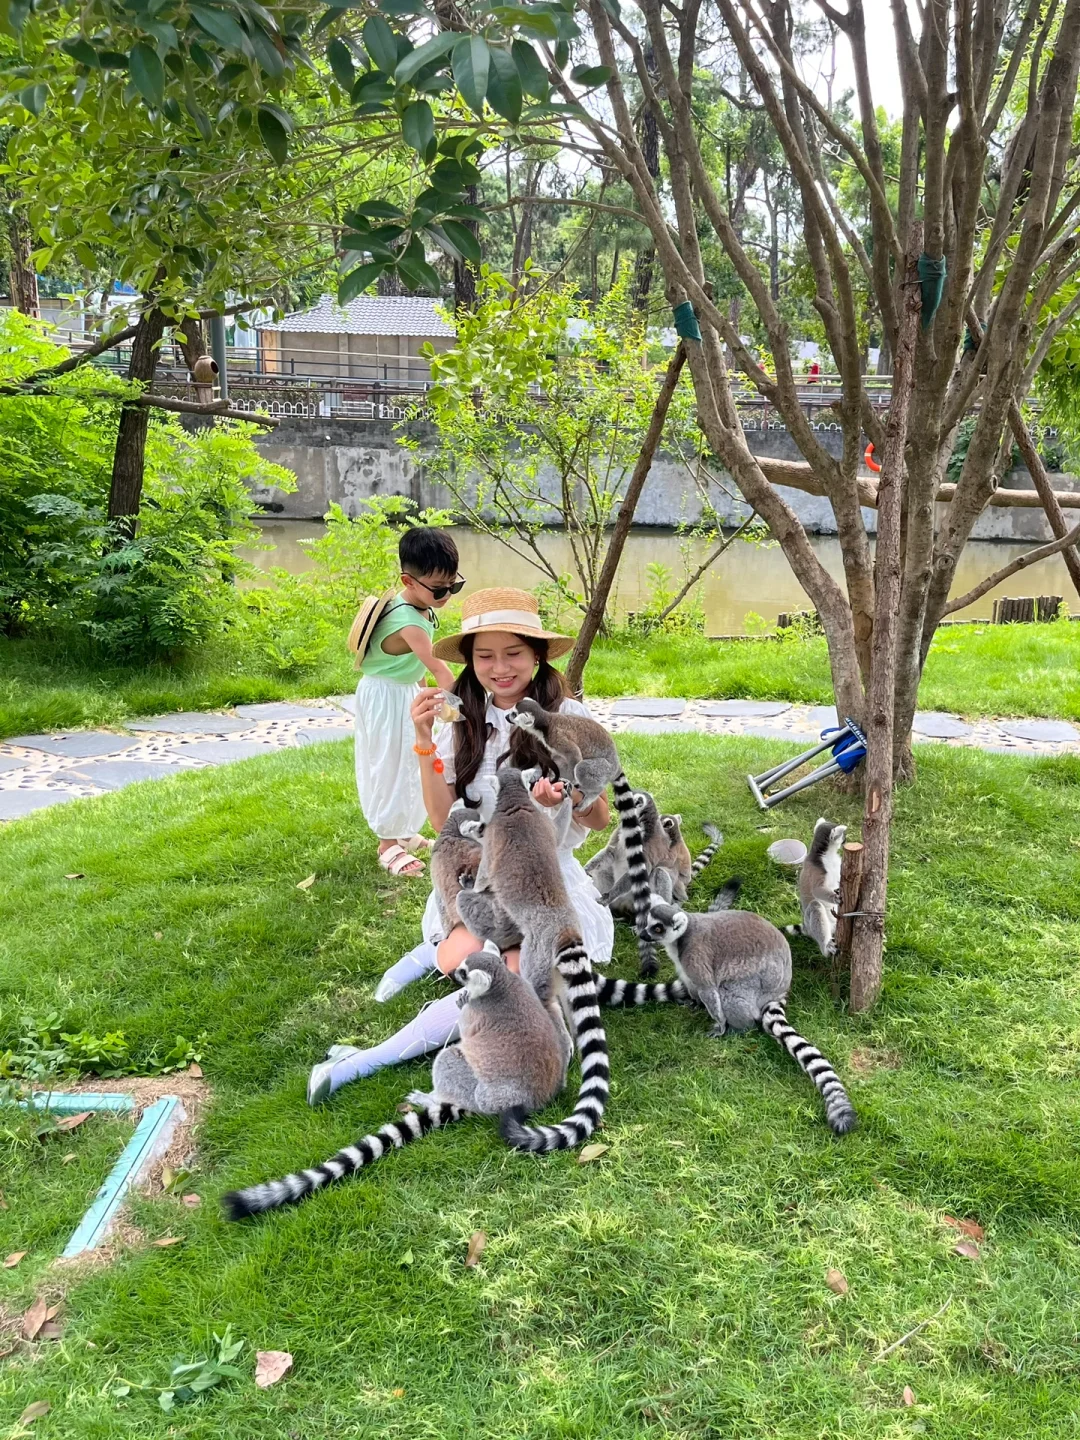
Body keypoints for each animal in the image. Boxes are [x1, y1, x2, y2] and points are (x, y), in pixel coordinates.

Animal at [222, 949, 573, 1220]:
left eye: (463, 972)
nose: (452, 973)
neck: (501, 982)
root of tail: (531, 1101)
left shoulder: (477, 1012)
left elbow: (465, 1023)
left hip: (478, 1091)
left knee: (449, 1059)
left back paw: (430, 1098)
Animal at [459, 763, 611, 1153]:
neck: (515, 803)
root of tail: (566, 930)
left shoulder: (494, 845)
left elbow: (484, 869)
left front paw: (473, 875)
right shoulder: (543, 825)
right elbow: (556, 835)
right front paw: (567, 801)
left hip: (536, 952)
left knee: (542, 997)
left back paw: (561, 1039)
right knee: (568, 999)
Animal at [507, 698, 655, 975]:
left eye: (514, 714)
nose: (507, 717)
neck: (546, 723)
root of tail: (615, 763)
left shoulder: (558, 737)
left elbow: (574, 759)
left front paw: (569, 785)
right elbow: (563, 763)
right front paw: (555, 780)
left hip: (601, 769)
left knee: (585, 767)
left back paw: (588, 793)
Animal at [615, 896, 857, 1135]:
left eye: (657, 928)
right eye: (647, 923)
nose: (643, 935)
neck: (680, 939)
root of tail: (781, 988)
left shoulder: (695, 953)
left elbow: (708, 988)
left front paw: (719, 1025)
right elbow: (692, 986)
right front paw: (693, 1003)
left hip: (757, 982)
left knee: (729, 993)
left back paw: (739, 1029)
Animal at [784, 819, 847, 958]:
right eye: (842, 836)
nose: (846, 840)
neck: (826, 855)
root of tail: (806, 927)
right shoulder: (817, 869)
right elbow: (817, 890)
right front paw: (835, 897)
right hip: (812, 922)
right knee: (815, 906)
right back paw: (826, 947)